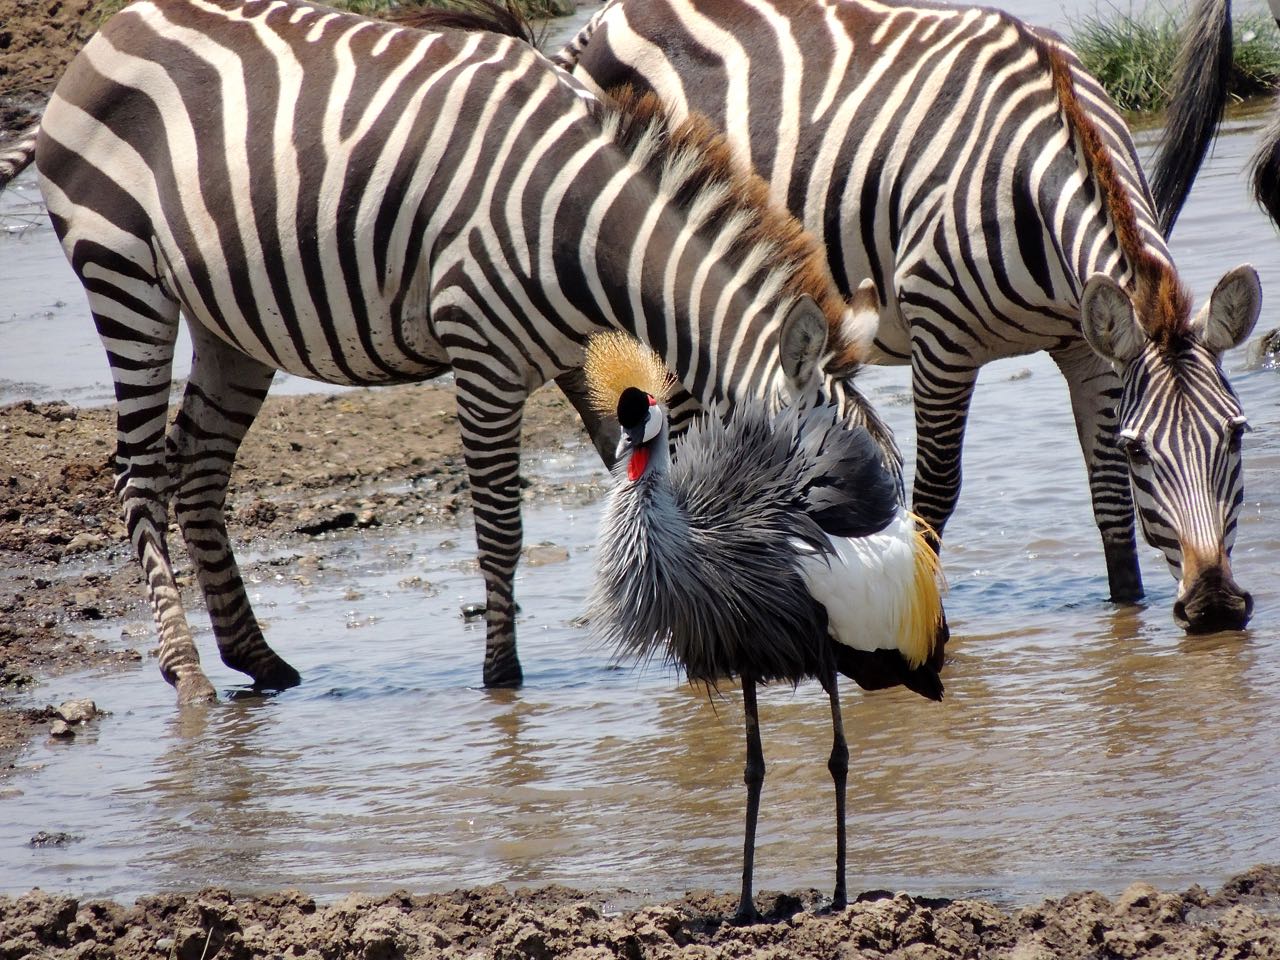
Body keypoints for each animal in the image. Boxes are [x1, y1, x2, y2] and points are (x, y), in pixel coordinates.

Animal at [0, 0, 911, 706]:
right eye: (820, 499)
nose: (867, 639)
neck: (587, 233)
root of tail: (109, 32)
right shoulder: (483, 356)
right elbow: (502, 527)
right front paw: (502, 680)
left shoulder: (574, 354)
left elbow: (636, 483)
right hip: (124, 274)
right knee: (140, 475)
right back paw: (186, 673)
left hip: (229, 319)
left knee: (199, 467)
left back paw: (258, 660)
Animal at [558, 0, 1259, 634]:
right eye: (1144, 450)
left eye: (1237, 435)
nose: (1215, 607)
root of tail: (603, 20)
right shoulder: (942, 340)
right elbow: (934, 496)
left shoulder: (1087, 348)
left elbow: (1110, 500)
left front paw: (1125, 631)